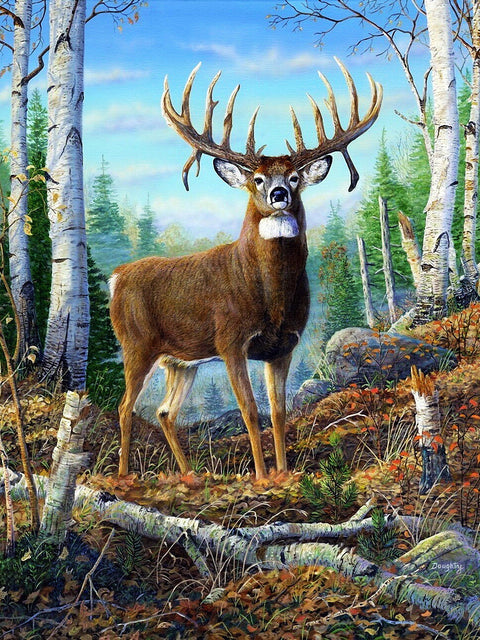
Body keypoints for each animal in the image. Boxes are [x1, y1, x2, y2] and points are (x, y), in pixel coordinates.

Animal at [110, 60, 382, 478]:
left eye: (294, 177)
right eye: (257, 178)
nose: (279, 194)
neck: (269, 298)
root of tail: (117, 276)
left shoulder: (283, 345)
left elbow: (279, 413)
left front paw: (283, 472)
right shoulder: (230, 340)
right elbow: (251, 412)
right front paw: (262, 477)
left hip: (180, 361)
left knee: (165, 411)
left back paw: (190, 474)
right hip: (137, 343)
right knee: (125, 407)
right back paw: (123, 475)